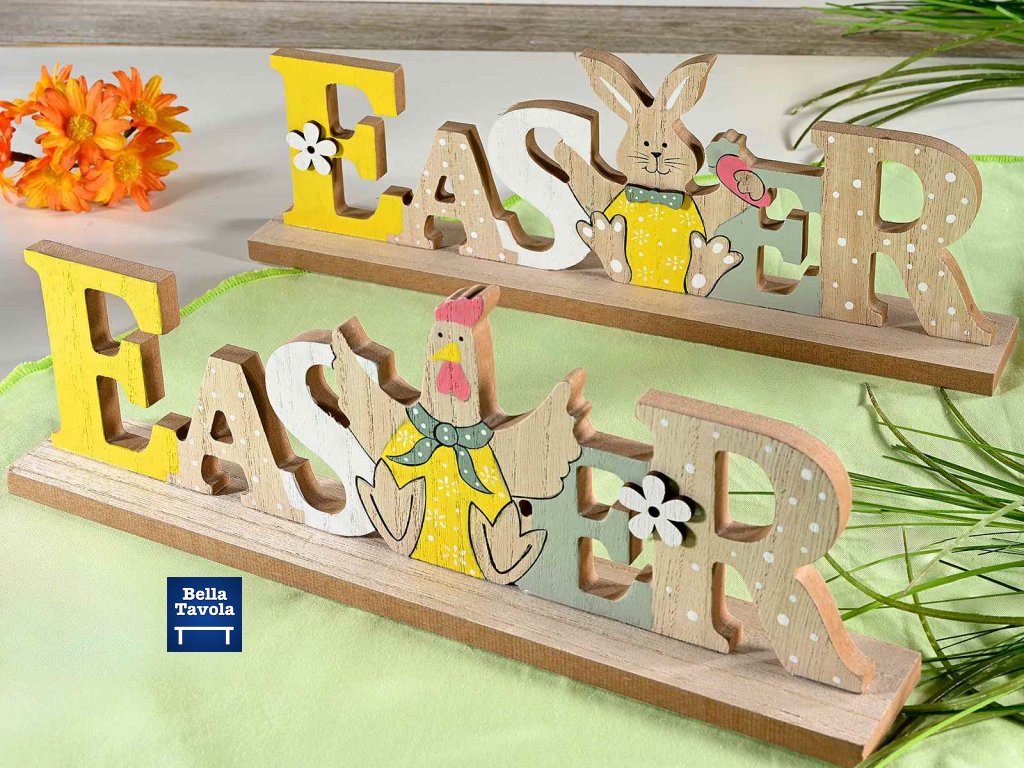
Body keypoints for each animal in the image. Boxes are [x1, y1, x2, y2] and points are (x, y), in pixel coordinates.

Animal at [556, 49, 763, 295]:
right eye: (645, 143)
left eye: (665, 143)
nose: (656, 152)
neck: (655, 193)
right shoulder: (609, 190)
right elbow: (590, 181)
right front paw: (563, 149)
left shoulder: (709, 207)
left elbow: (726, 200)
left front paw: (748, 182)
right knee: (618, 267)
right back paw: (605, 232)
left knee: (697, 282)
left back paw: (710, 256)